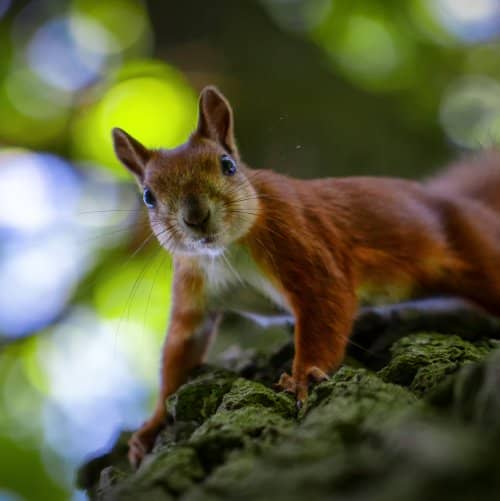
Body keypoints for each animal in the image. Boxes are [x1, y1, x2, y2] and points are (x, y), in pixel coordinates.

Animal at [111, 84, 500, 462]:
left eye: (227, 165)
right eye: (148, 196)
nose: (195, 217)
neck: (223, 253)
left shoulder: (299, 239)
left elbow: (324, 302)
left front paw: (302, 377)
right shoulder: (192, 284)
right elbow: (181, 349)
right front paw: (152, 425)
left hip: (478, 250)